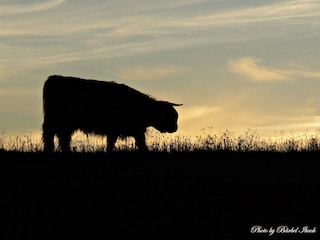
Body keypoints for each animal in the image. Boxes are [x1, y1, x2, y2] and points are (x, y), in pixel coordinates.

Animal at [42, 75, 182, 152]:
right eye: (171, 116)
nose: (175, 128)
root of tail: (54, 78)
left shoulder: (134, 130)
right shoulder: (118, 130)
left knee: (61, 139)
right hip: (59, 122)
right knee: (55, 137)